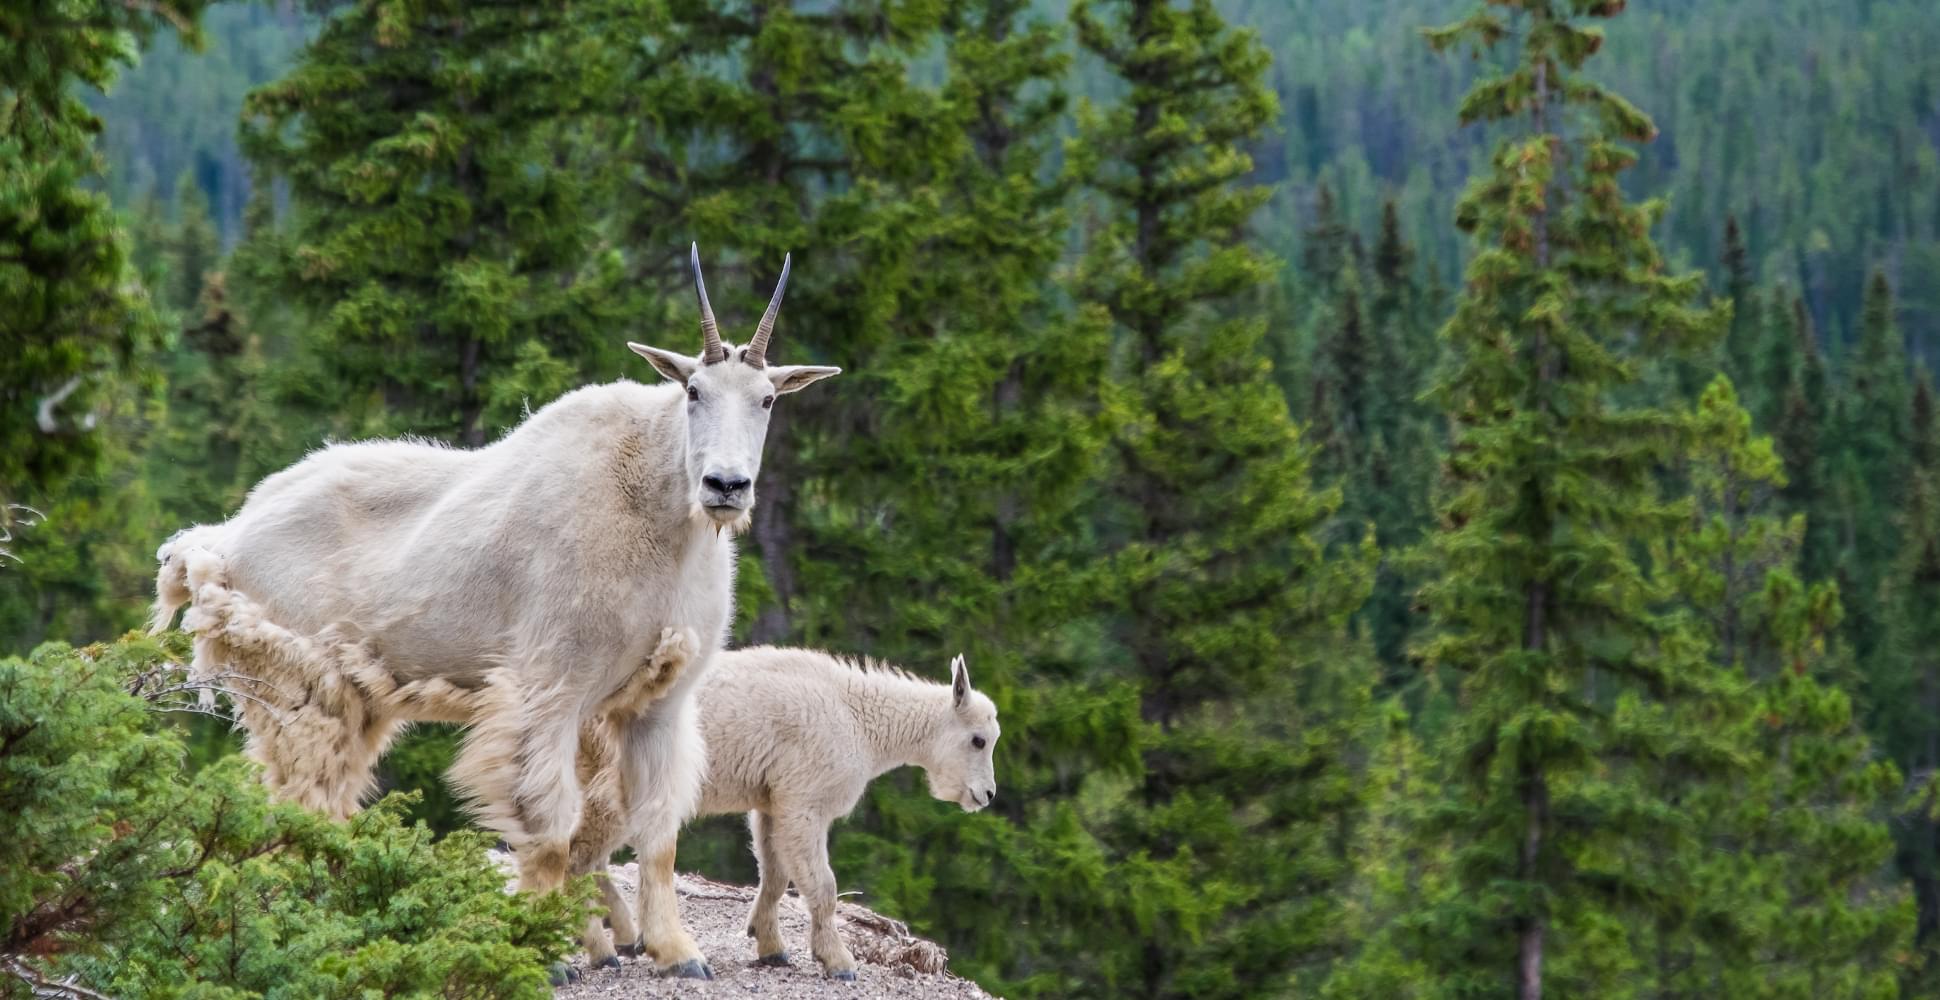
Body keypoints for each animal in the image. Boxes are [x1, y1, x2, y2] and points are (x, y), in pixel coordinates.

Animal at [149, 250, 834, 963]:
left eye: (766, 399)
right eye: (694, 391)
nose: (726, 485)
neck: (658, 514)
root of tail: (223, 540)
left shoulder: (660, 705)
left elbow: (658, 836)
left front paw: (676, 954)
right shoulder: (551, 688)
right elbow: (551, 830)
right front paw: (549, 953)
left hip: (350, 699)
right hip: (294, 688)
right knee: (296, 801)